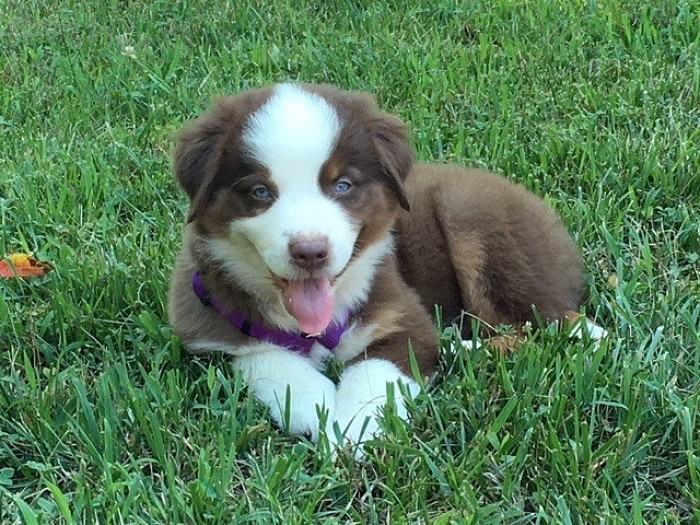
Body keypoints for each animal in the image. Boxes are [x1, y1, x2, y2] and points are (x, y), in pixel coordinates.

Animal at [167, 84, 600, 452]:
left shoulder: (399, 310)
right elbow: (271, 362)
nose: (311, 252)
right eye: (260, 192)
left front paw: (352, 430)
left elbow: (375, 372)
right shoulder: (213, 330)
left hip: (470, 216)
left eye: (342, 185)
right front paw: (319, 410)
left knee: (554, 327)